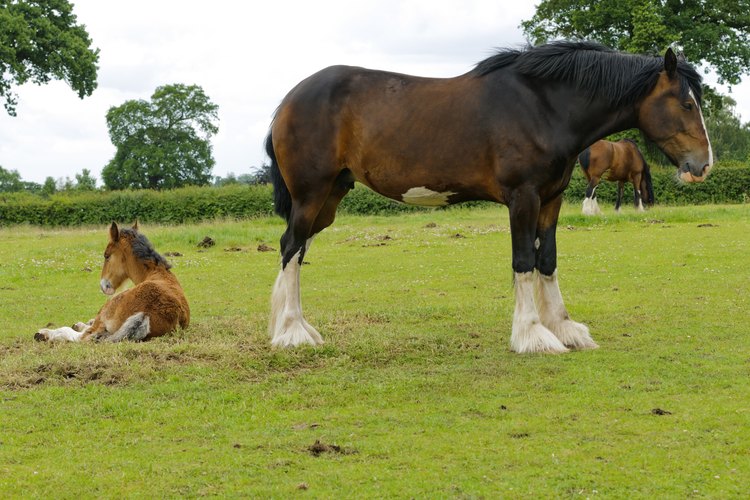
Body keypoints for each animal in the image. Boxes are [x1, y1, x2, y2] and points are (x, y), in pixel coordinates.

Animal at [34, 224, 191, 344]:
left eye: (106, 255)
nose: (103, 286)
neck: (157, 272)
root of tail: (146, 314)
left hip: (107, 307)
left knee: (82, 335)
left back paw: (43, 333)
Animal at [268, 44, 712, 356]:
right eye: (687, 103)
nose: (703, 165)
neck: (543, 107)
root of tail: (288, 100)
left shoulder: (550, 200)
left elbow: (547, 260)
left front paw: (565, 329)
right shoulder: (523, 198)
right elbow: (524, 261)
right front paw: (532, 335)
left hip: (329, 198)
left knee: (297, 250)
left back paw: (291, 328)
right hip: (311, 194)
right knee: (291, 248)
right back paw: (292, 332)